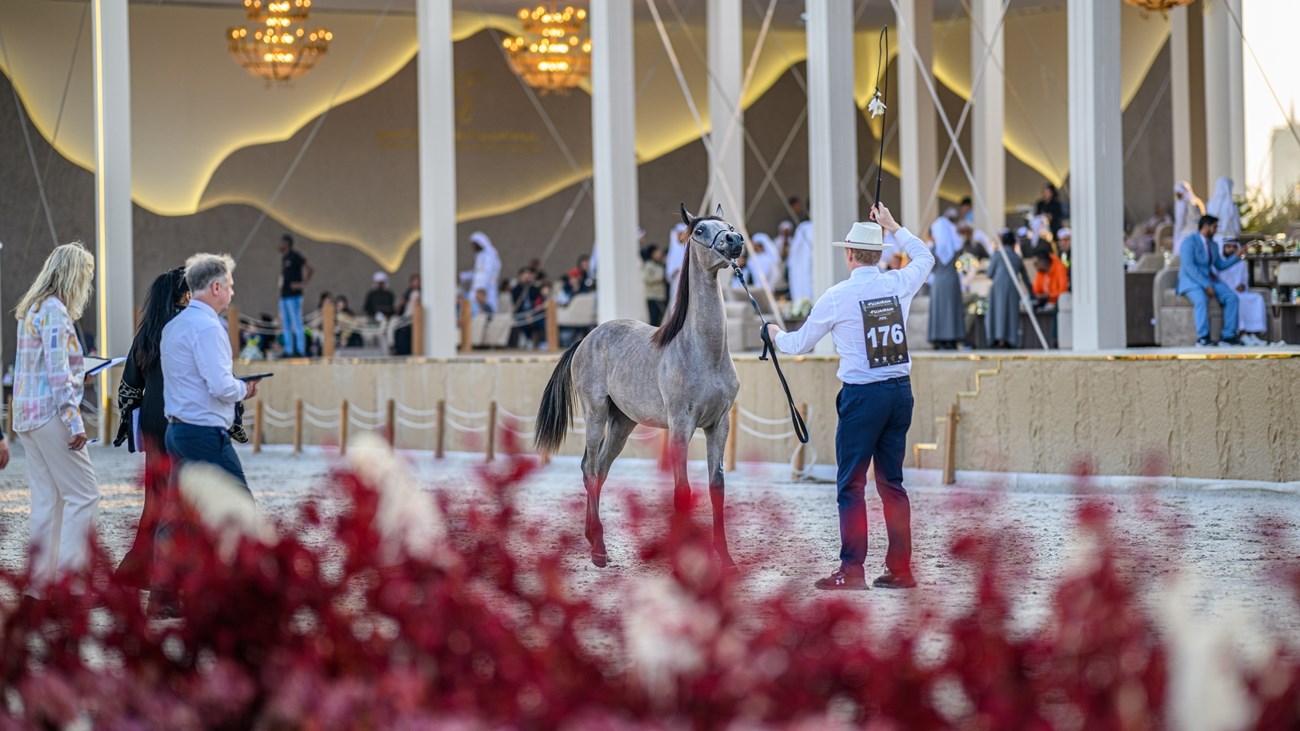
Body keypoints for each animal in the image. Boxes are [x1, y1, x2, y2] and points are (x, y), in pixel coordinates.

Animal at [535, 205, 743, 569]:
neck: (703, 351)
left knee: (599, 469)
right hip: (596, 414)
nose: (734, 240)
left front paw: (725, 558)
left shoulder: (719, 424)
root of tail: (585, 339)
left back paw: (594, 540)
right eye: (699, 230)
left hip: (622, 423)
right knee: (591, 468)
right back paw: (598, 550)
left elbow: (716, 487)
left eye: (728, 225)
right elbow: (682, 490)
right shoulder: (680, 425)